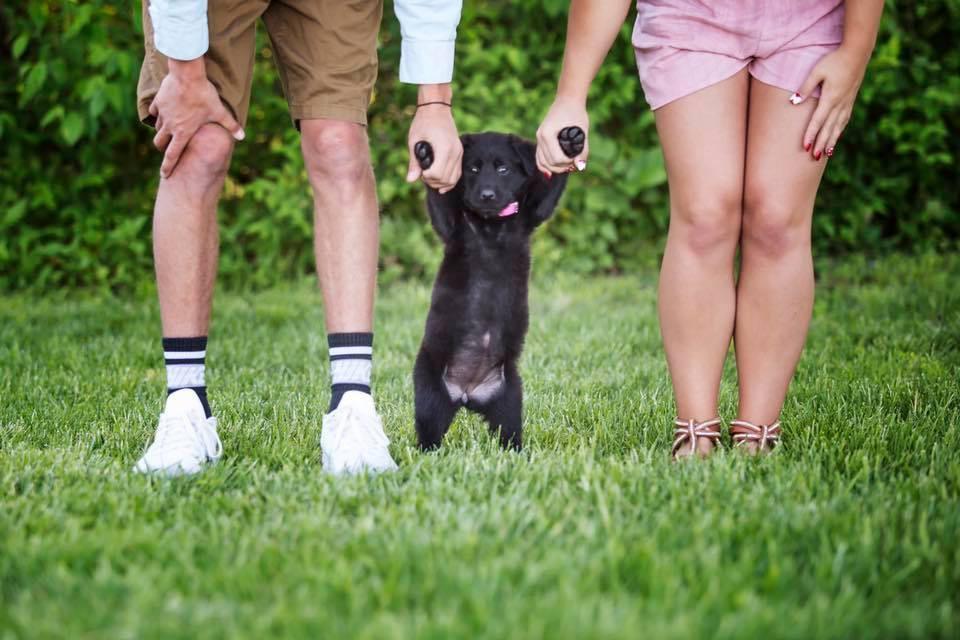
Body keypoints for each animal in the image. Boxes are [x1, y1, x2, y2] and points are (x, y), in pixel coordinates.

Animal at [412, 131, 568, 450]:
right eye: (472, 169)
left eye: (503, 169)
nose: (486, 195)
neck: (491, 225)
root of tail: (466, 394)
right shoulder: (451, 224)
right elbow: (439, 198)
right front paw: (428, 157)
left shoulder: (532, 213)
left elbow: (552, 187)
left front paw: (569, 143)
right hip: (430, 391)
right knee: (429, 428)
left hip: (508, 397)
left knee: (509, 430)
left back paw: (518, 453)